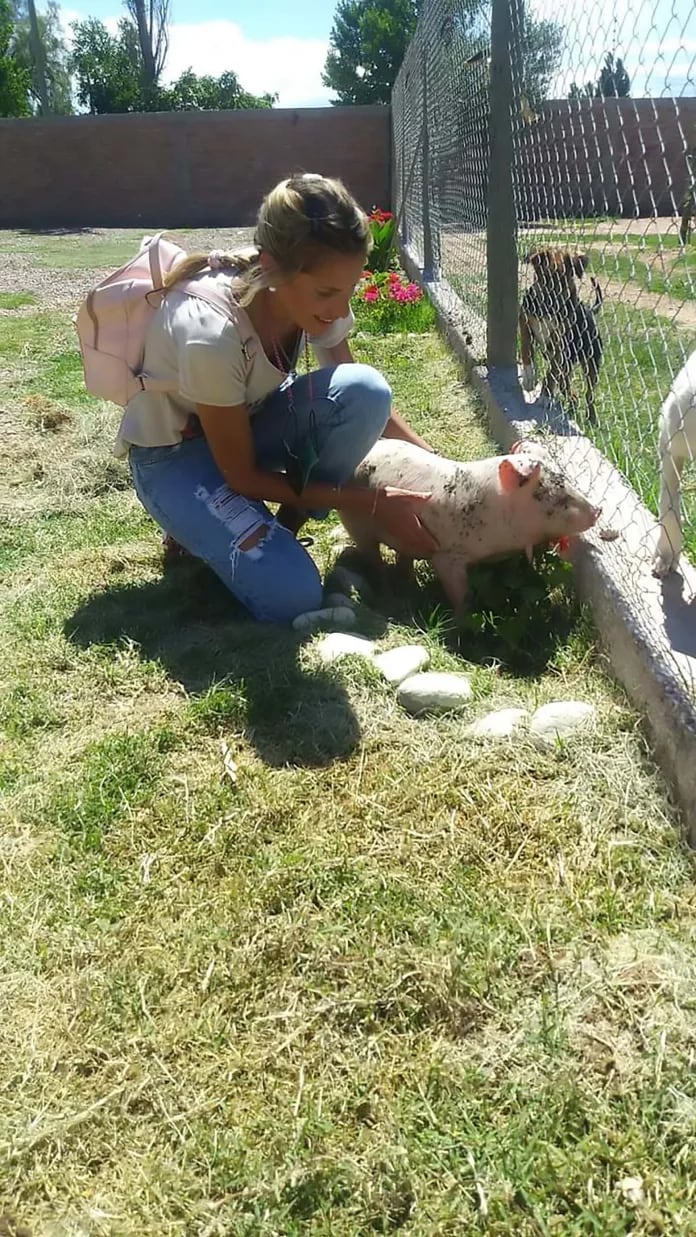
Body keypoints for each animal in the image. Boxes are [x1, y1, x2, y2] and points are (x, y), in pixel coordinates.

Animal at [341, 445, 600, 618]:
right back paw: (388, 597)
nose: (598, 510)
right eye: (558, 497)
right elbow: (462, 595)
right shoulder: (447, 555)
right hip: (356, 524)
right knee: (373, 559)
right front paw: (460, 625)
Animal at [516, 248, 605, 423]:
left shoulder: (559, 343)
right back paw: (572, 407)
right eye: (546, 277)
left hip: (592, 362)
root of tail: (590, 311)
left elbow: (551, 373)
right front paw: (529, 378)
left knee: (589, 394)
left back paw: (592, 418)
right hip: (568, 370)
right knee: (572, 393)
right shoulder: (524, 324)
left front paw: (546, 396)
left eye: (566, 278)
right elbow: (526, 351)